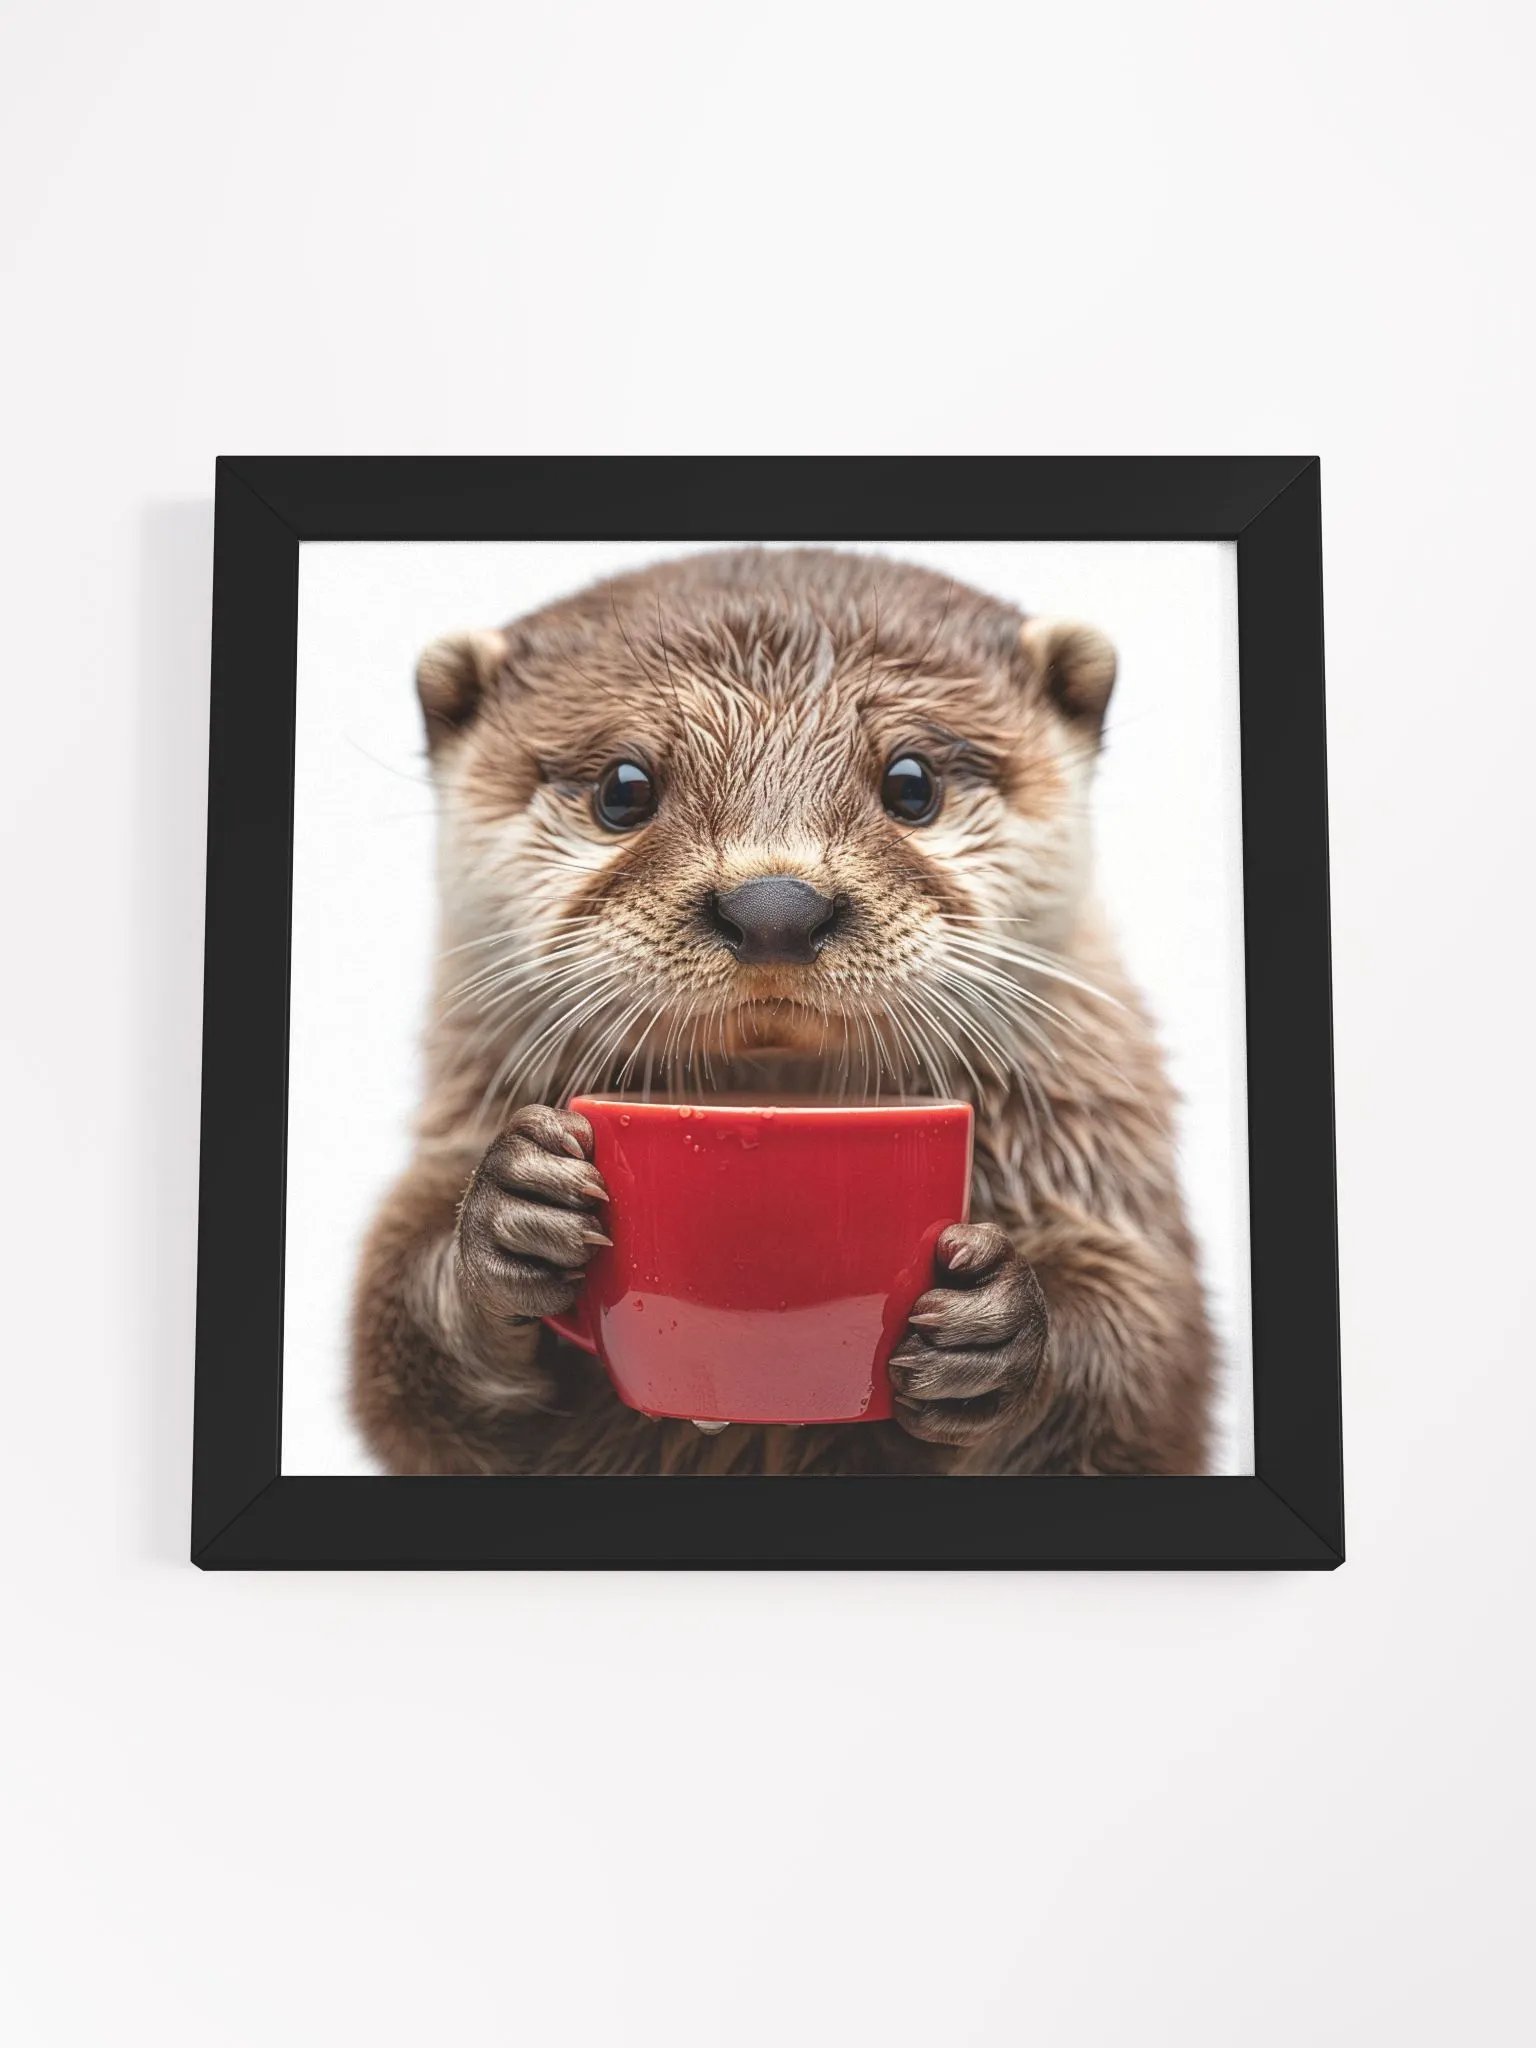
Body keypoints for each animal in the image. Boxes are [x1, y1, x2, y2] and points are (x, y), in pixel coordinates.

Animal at [352, 548, 1215, 1476]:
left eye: (912, 782)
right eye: (625, 787)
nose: (775, 906)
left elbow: (1134, 1365)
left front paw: (1002, 1326)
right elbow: (404, 1348)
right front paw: (507, 1216)